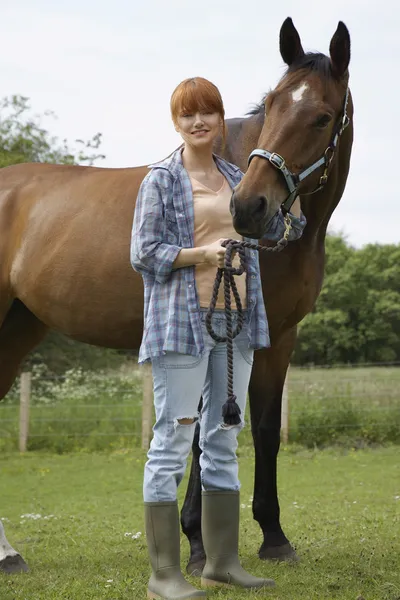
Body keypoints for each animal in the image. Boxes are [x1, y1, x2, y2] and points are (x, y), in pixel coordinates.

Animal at [0, 16, 354, 576]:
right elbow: (199, 436)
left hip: (18, 327)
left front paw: (274, 537)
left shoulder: (278, 336)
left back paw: (8, 554)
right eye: (272, 102)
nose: (249, 207)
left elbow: (266, 429)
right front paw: (198, 543)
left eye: (321, 117)